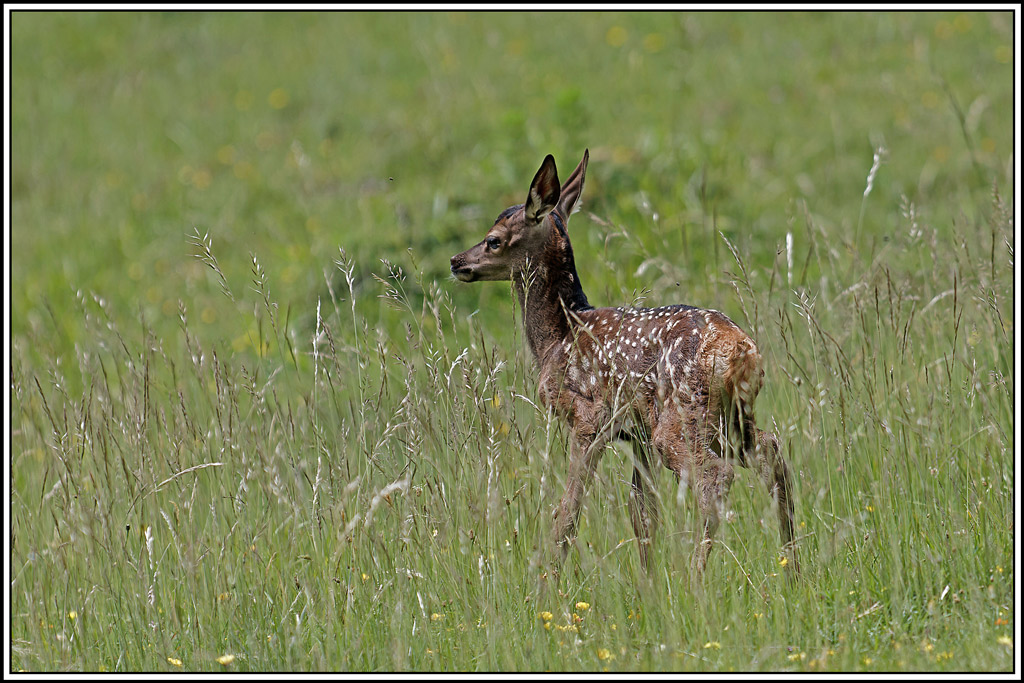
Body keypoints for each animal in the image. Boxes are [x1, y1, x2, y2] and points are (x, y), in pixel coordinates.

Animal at [450, 150, 798, 580]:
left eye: (493, 239)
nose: (457, 261)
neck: (558, 336)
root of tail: (741, 349)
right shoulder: (639, 436)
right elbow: (643, 515)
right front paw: (648, 586)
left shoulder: (590, 416)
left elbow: (568, 511)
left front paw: (547, 582)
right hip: (731, 419)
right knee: (771, 451)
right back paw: (794, 569)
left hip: (683, 414)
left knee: (716, 475)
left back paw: (697, 580)